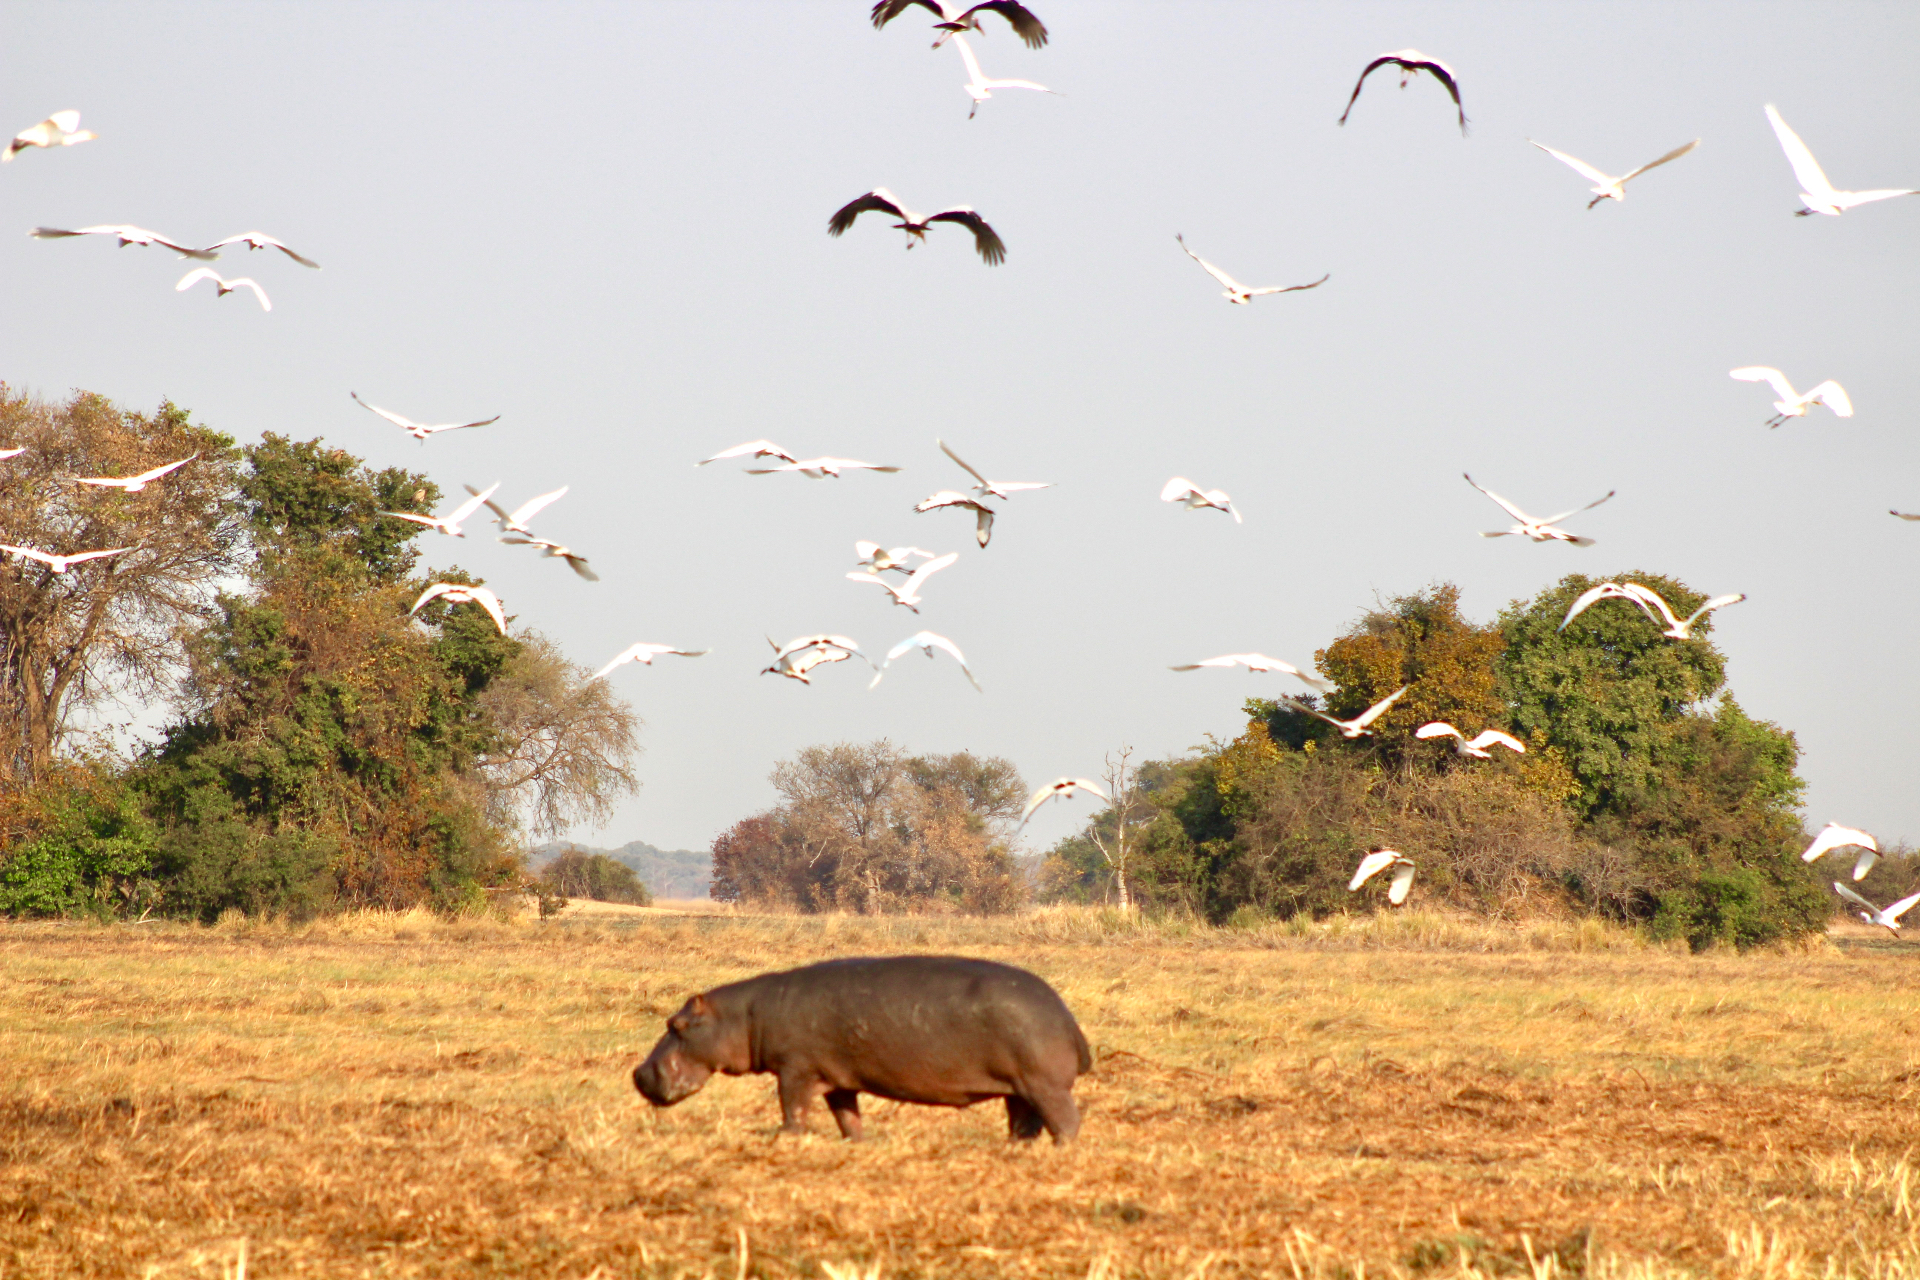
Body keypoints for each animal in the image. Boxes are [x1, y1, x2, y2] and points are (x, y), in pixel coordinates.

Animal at [633, 955, 1091, 1143]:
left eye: (676, 1025)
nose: (637, 1074)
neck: (743, 1016)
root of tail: (1067, 1015)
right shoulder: (836, 1078)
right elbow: (846, 1116)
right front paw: (857, 1143)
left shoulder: (796, 1070)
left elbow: (791, 1108)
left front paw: (786, 1138)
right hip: (1020, 1089)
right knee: (1025, 1124)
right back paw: (1015, 1150)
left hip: (1044, 1084)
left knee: (1067, 1122)